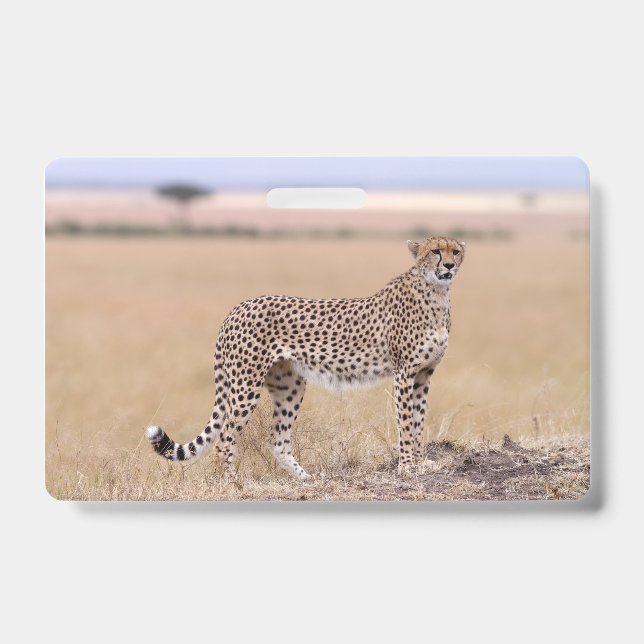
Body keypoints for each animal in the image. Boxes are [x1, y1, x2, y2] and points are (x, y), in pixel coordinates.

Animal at [145, 236, 465, 479]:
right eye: (435, 251)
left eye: (456, 251)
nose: (449, 266)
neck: (436, 293)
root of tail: (238, 307)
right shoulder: (404, 374)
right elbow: (407, 423)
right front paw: (408, 467)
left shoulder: (424, 374)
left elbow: (419, 420)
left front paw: (421, 462)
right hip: (245, 385)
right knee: (224, 438)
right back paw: (228, 482)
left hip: (289, 385)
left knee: (278, 441)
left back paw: (305, 478)